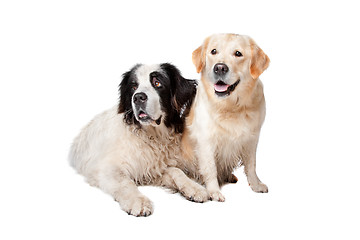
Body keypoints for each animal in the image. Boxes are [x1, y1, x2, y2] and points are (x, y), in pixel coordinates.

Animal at [69, 62, 208, 217]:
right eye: (134, 87)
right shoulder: (106, 168)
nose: (138, 97)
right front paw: (138, 202)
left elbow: (176, 171)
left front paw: (194, 188)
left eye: (157, 83)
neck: (152, 136)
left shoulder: (152, 168)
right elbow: (125, 183)